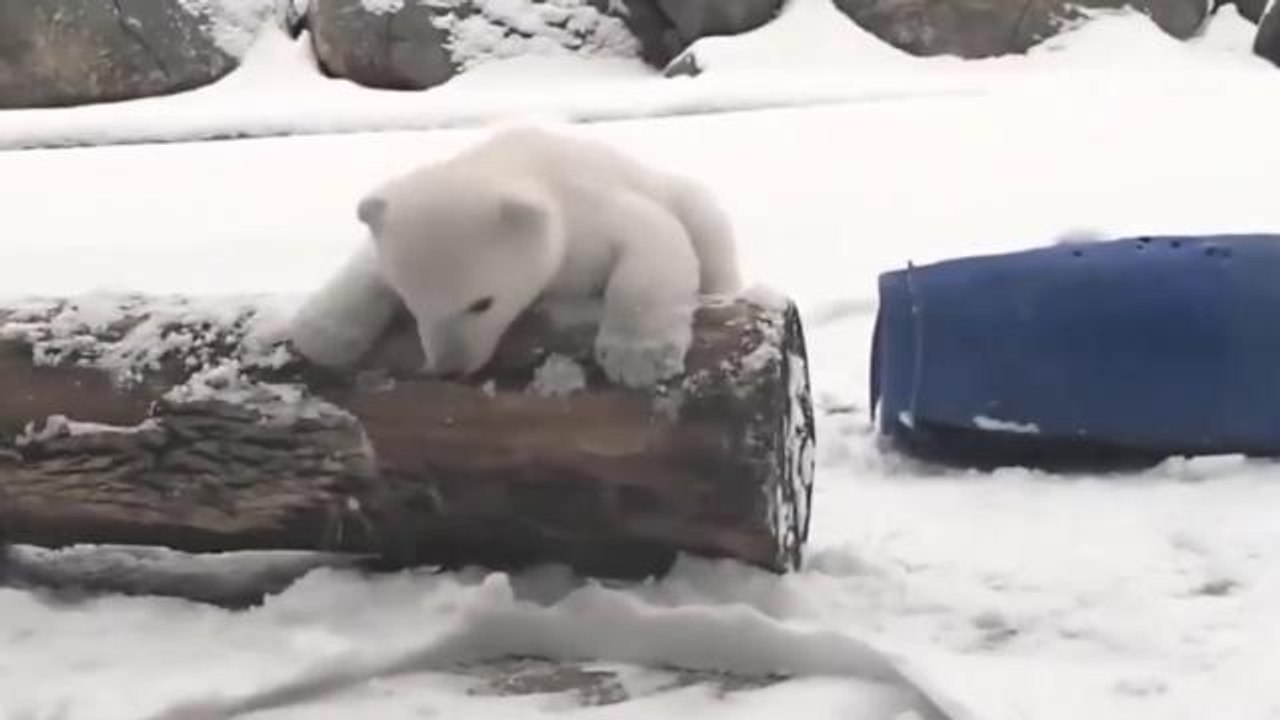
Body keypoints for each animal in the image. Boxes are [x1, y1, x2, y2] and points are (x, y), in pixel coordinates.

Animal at [286, 127, 742, 388]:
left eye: (482, 303)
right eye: (412, 304)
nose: (449, 368)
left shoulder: (589, 211)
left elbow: (653, 237)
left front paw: (639, 357)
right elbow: (366, 264)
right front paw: (321, 333)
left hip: (685, 196)